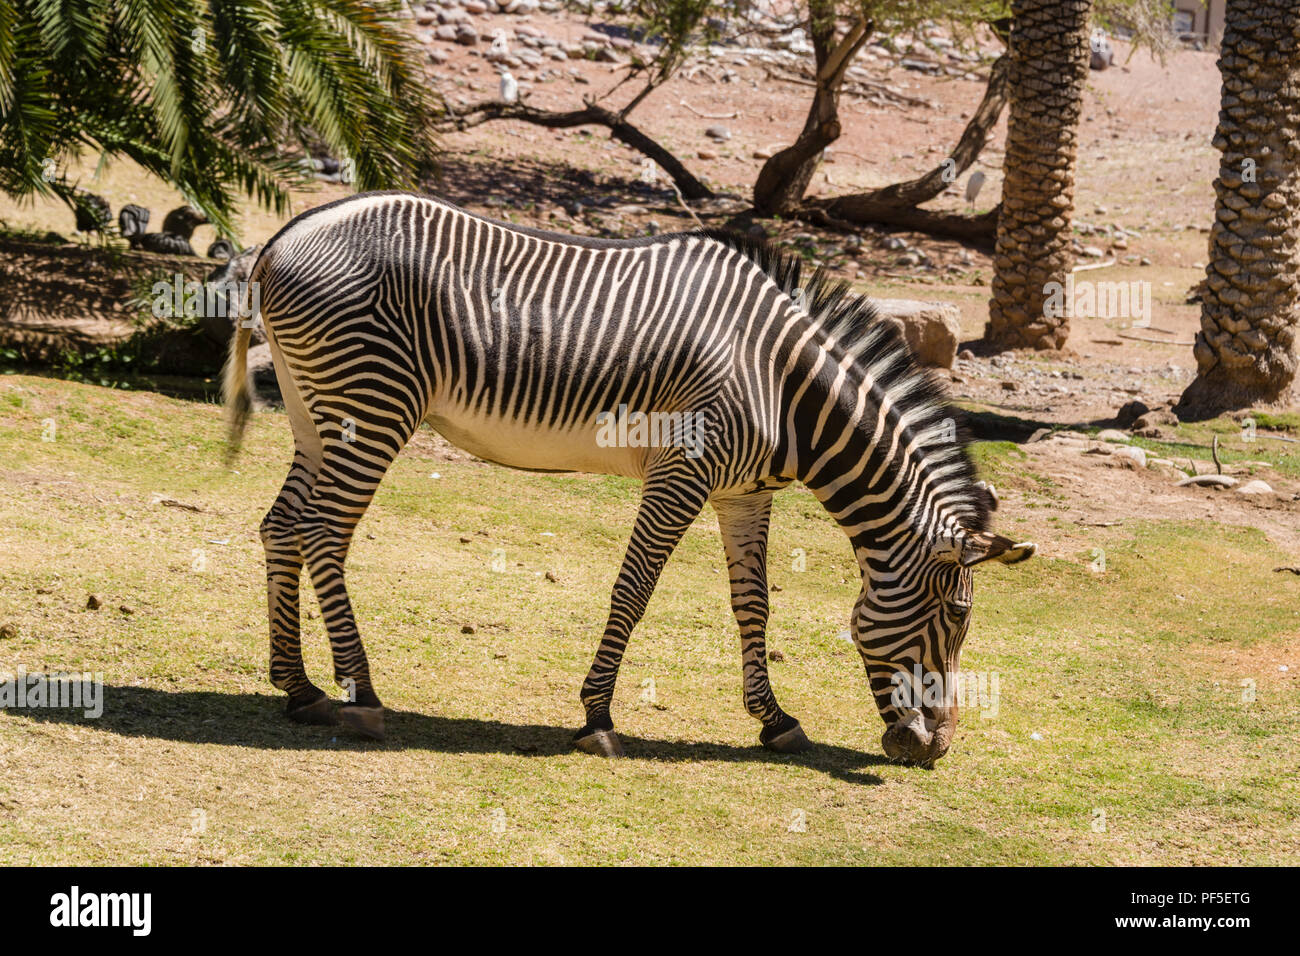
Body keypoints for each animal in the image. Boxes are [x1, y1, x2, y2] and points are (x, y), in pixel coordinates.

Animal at [223, 191, 1035, 767]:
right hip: (374, 402)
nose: (936, 751)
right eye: (958, 615)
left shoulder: (744, 492)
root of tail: (284, 236)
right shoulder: (685, 470)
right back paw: (361, 694)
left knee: (282, 525)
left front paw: (775, 720)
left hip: (316, 409)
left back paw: (299, 688)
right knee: (323, 533)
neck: (785, 383)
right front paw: (598, 717)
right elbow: (635, 589)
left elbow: (754, 604)